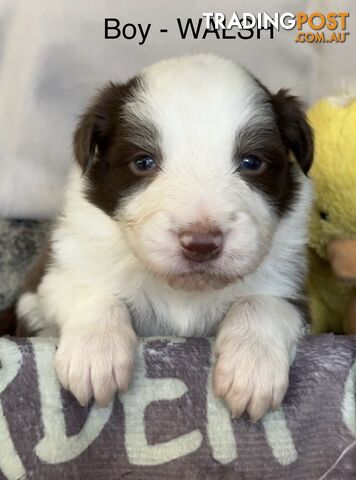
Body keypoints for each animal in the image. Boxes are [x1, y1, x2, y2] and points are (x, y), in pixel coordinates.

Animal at [16, 53, 312, 420]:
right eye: (144, 162)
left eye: (251, 162)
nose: (201, 244)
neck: (184, 293)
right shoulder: (53, 278)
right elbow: (96, 294)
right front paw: (95, 355)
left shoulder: (293, 290)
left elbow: (259, 302)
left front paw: (252, 369)